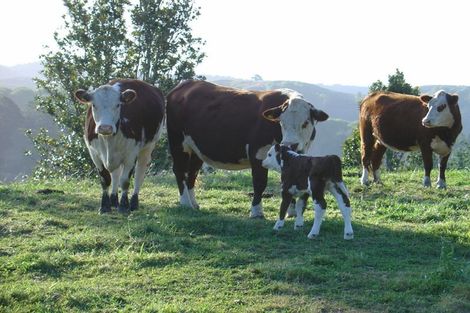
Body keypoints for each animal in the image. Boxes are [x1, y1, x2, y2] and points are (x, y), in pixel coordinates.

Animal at [75, 79, 165, 213]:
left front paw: (124, 206)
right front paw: (105, 206)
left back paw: (133, 203)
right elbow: (105, 179)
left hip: (148, 147)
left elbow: (125, 181)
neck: (108, 140)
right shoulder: (94, 154)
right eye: (94, 105)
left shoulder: (131, 154)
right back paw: (113, 200)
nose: (105, 127)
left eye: (118, 105)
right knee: (115, 174)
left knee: (140, 172)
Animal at [167, 78, 328, 217]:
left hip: (195, 149)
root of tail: (186, 84)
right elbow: (260, 183)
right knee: (180, 170)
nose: (290, 144)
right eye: (281, 122)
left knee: (192, 173)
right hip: (177, 142)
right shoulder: (258, 152)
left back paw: (194, 203)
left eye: (306, 122)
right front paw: (256, 212)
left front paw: (292, 212)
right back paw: (186, 203)